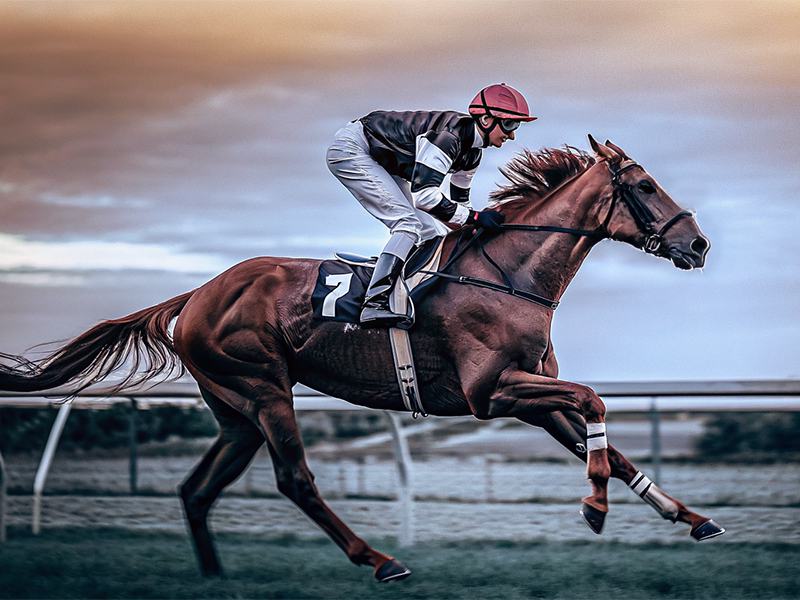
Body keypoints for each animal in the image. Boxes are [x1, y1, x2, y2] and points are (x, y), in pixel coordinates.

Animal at [0, 136, 721, 582]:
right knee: (295, 480)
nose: (698, 244)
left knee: (196, 489)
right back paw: (379, 560)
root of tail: (198, 294)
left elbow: (610, 445)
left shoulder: (532, 394)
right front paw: (596, 507)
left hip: (234, 410)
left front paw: (689, 518)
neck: (508, 275)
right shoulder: (492, 393)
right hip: (265, 390)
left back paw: (213, 576)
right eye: (646, 186)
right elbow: (595, 401)